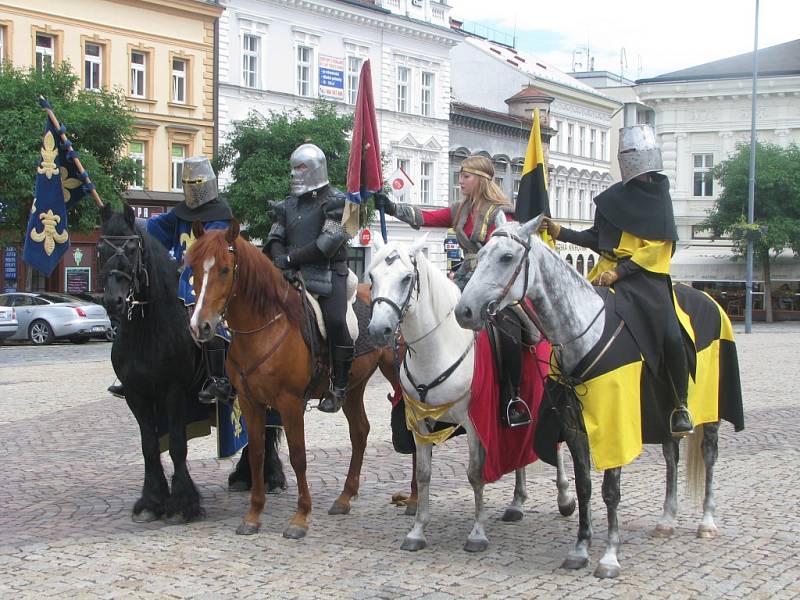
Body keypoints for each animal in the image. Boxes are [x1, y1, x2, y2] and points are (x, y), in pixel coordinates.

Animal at [98, 204, 284, 524]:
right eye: (100, 249)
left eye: (132, 249)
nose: (114, 302)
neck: (149, 329)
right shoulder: (137, 395)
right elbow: (149, 446)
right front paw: (152, 501)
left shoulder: (174, 392)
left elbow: (176, 445)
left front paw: (182, 504)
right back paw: (245, 476)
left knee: (267, 429)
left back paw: (268, 477)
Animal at [188, 221, 412, 540]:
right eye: (193, 266)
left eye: (224, 269)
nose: (200, 326)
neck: (266, 326)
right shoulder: (250, 402)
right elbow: (256, 454)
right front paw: (253, 514)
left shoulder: (290, 404)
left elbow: (298, 456)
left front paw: (300, 517)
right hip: (353, 387)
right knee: (359, 432)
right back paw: (345, 497)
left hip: (402, 380)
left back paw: (415, 499)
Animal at [366, 236, 572, 552]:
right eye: (371, 277)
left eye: (406, 278)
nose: (379, 330)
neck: (439, 348)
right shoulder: (420, 424)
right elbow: (423, 475)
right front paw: (417, 531)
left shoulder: (475, 422)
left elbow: (475, 474)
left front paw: (477, 534)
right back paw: (517, 503)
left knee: (556, 446)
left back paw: (564, 498)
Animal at [456, 216, 744, 576]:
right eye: (481, 255)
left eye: (507, 257)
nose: (464, 311)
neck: (584, 332)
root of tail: (710, 299)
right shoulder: (575, 429)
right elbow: (585, 487)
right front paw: (580, 548)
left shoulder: (615, 426)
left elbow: (610, 491)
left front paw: (609, 556)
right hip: (663, 415)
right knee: (671, 456)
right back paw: (667, 519)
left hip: (712, 411)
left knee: (709, 456)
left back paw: (706, 521)